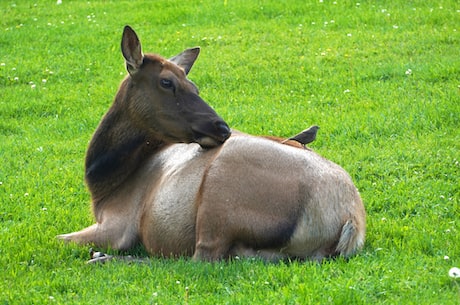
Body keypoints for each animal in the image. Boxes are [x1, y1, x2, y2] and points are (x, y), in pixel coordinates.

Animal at [58, 25, 366, 262]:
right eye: (167, 82)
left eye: (193, 85)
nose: (222, 126)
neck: (104, 185)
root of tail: (351, 220)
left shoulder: (117, 224)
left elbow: (58, 237)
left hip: (219, 199)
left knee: (198, 258)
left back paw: (103, 258)